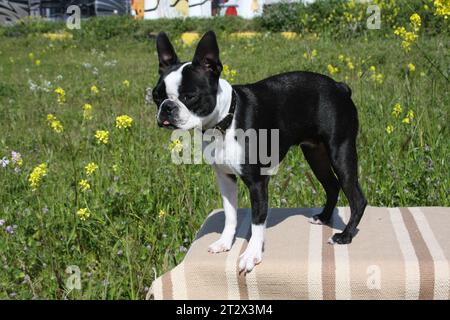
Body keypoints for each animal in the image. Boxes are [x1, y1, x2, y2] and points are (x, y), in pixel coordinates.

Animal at [153, 30, 368, 272]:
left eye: (190, 96)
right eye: (156, 96)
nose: (167, 107)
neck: (226, 120)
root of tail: (340, 87)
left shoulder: (257, 182)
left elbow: (257, 220)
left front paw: (251, 255)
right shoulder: (225, 178)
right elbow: (230, 214)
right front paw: (225, 242)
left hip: (340, 152)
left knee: (357, 197)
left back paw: (345, 235)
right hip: (315, 154)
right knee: (331, 186)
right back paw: (323, 217)